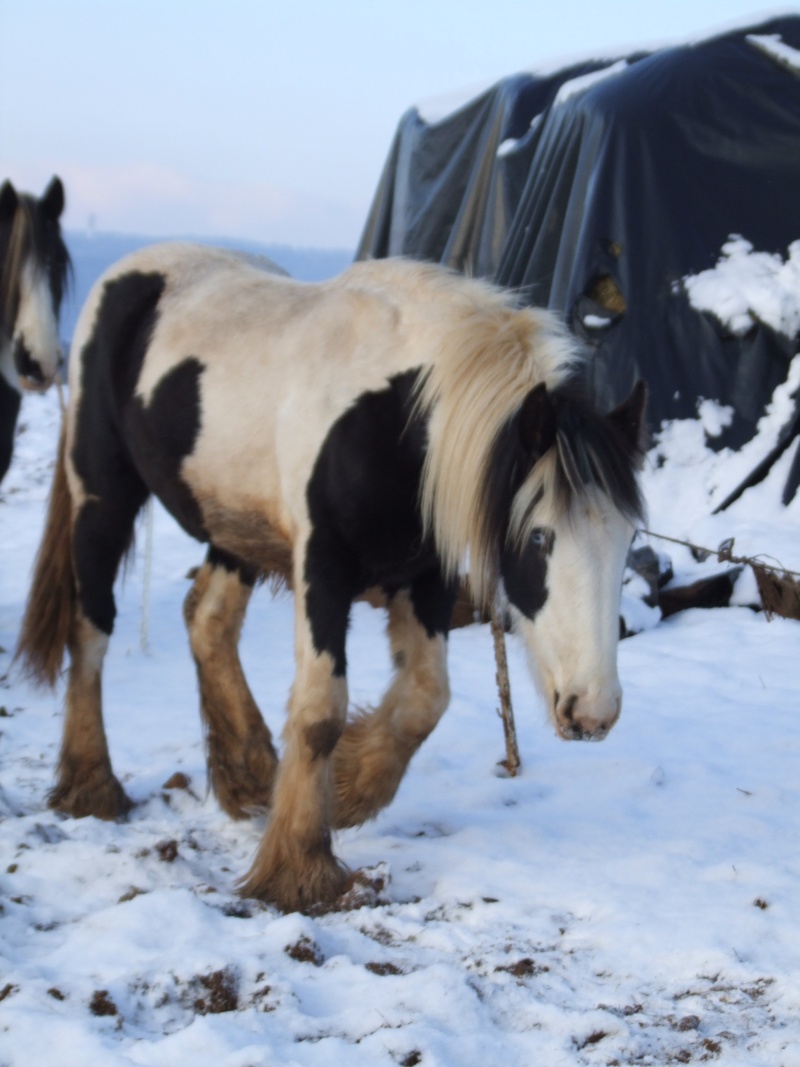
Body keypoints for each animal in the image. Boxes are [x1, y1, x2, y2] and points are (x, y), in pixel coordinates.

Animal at [17, 245, 644, 913]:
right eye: (538, 537)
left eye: (630, 541)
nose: (594, 713)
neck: (398, 415)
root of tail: (133, 270)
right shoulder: (322, 568)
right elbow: (321, 712)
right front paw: (299, 867)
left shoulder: (427, 576)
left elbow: (424, 701)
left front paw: (343, 792)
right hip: (101, 499)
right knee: (91, 631)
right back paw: (92, 786)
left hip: (233, 531)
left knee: (207, 620)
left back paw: (250, 776)